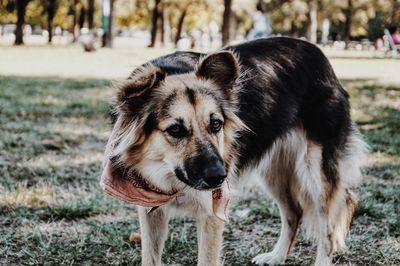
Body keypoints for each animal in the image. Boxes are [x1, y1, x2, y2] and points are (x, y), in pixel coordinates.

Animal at [101, 38, 368, 266]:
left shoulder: (212, 214)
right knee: (294, 212)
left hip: (315, 172)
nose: (220, 176)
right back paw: (277, 256)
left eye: (216, 124)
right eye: (176, 129)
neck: (168, 176)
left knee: (329, 224)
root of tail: (318, 54)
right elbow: (150, 257)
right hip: (273, 171)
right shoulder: (149, 209)